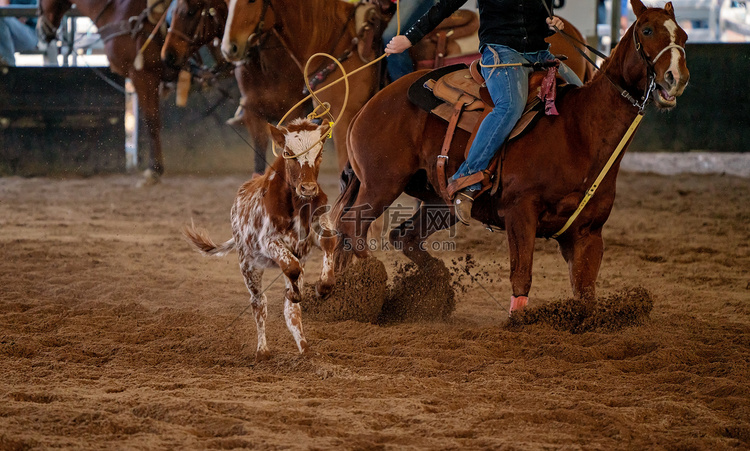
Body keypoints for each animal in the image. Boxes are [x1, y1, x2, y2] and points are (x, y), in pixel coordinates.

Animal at [184, 119, 336, 360]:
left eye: (319, 153)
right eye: (288, 153)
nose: (308, 188)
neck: (295, 204)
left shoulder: (314, 234)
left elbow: (329, 244)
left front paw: (323, 287)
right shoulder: (269, 243)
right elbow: (291, 268)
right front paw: (295, 292)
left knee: (291, 310)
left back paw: (305, 349)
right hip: (249, 265)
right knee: (259, 303)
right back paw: (263, 350)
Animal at [332, 0, 692, 316]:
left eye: (684, 37)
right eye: (646, 30)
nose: (677, 77)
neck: (578, 131)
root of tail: (370, 104)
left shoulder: (589, 235)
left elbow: (585, 291)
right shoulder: (521, 214)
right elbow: (522, 276)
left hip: (437, 200)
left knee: (401, 236)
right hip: (381, 184)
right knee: (352, 226)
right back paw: (361, 288)